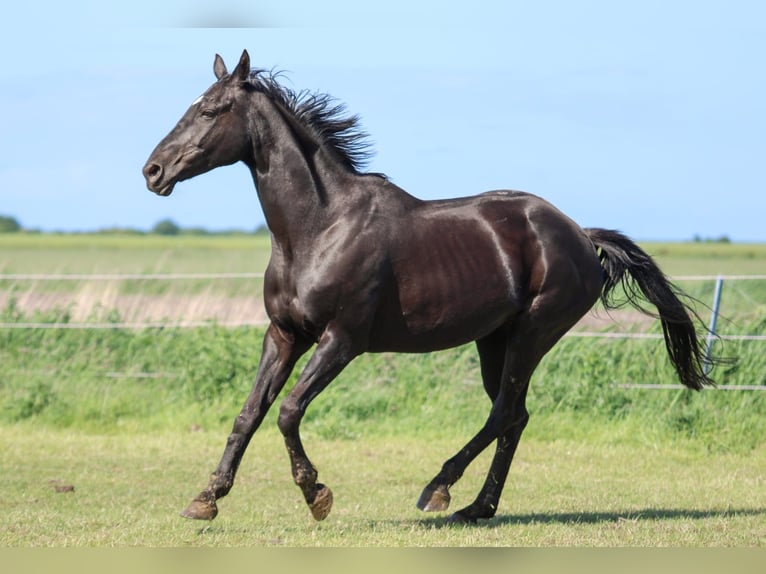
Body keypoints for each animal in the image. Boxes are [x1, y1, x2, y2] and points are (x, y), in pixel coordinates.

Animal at [143, 50, 714, 524]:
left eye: (212, 110)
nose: (153, 170)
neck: (318, 228)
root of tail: (579, 233)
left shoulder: (341, 340)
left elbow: (288, 412)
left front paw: (317, 495)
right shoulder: (284, 335)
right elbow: (250, 413)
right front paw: (206, 499)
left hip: (532, 333)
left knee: (504, 413)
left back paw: (438, 490)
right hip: (495, 341)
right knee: (515, 416)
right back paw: (477, 508)